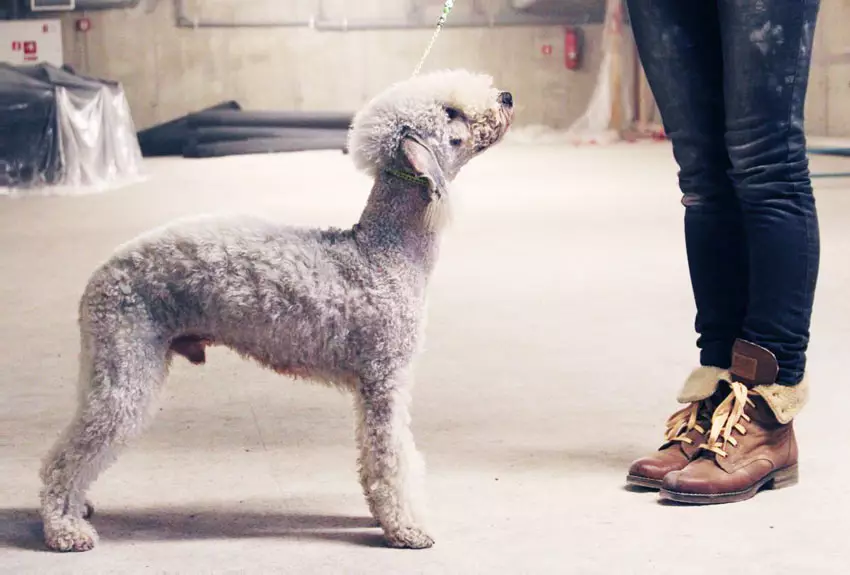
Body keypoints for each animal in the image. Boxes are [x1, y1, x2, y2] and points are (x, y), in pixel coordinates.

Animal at [38, 68, 510, 552]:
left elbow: (377, 458)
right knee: (66, 457)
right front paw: (406, 528)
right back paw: (65, 529)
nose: (508, 98)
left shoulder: (372, 387)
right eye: (450, 113)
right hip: (126, 367)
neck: (382, 251)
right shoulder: (385, 380)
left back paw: (79, 508)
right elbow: (392, 458)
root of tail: (98, 278)